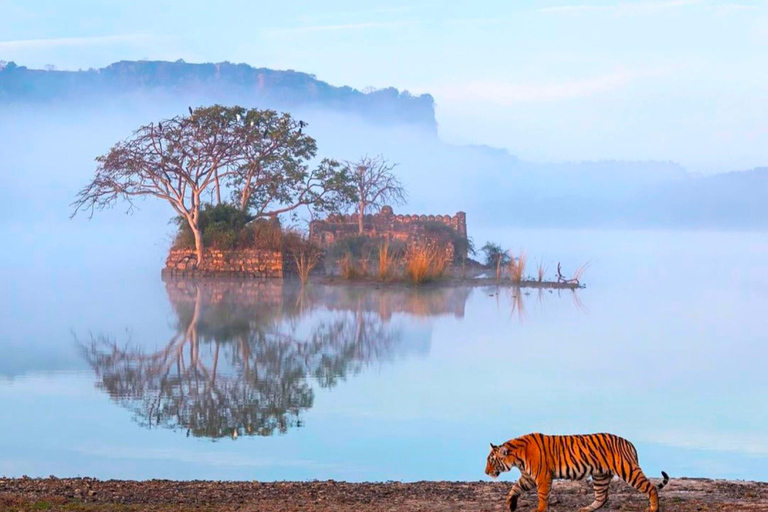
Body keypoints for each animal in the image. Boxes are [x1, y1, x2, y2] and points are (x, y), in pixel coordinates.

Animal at [488, 432, 668, 512]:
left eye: (491, 460)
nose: (486, 471)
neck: (517, 458)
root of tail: (629, 442)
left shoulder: (542, 476)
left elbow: (542, 495)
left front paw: (540, 509)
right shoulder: (528, 477)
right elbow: (515, 488)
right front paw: (510, 504)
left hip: (628, 469)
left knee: (651, 487)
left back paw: (653, 509)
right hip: (600, 476)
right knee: (602, 497)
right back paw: (586, 509)